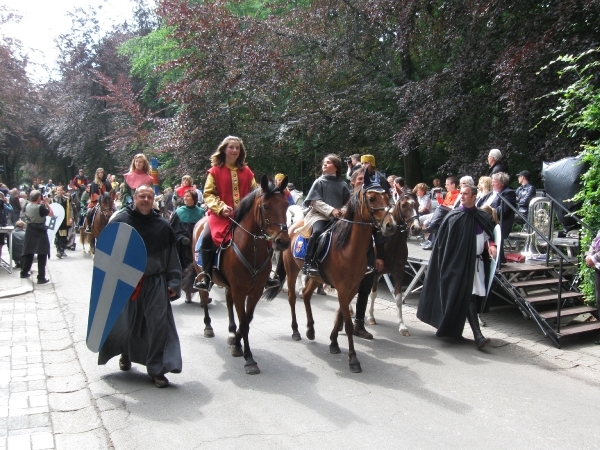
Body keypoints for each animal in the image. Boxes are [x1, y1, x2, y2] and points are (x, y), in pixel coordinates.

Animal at [183, 174, 288, 374]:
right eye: (266, 206)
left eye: (286, 205)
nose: (283, 241)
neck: (251, 248)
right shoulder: (240, 290)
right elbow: (244, 322)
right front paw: (249, 359)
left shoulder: (254, 291)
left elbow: (247, 318)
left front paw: (236, 342)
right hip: (203, 274)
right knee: (204, 296)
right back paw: (208, 326)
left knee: (228, 300)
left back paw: (231, 331)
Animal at [278, 186, 396, 372]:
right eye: (371, 198)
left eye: (387, 196)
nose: (390, 225)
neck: (348, 248)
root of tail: (292, 227)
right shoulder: (342, 288)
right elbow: (347, 323)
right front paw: (353, 359)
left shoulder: (352, 288)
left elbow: (341, 314)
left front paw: (333, 342)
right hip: (292, 270)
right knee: (292, 297)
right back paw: (296, 331)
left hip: (317, 277)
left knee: (306, 294)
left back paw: (310, 330)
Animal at [366, 193, 422, 334]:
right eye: (403, 205)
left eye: (417, 204)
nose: (416, 228)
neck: (391, 243)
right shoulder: (375, 272)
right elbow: (373, 294)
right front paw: (371, 317)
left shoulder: (399, 272)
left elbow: (398, 298)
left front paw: (402, 325)